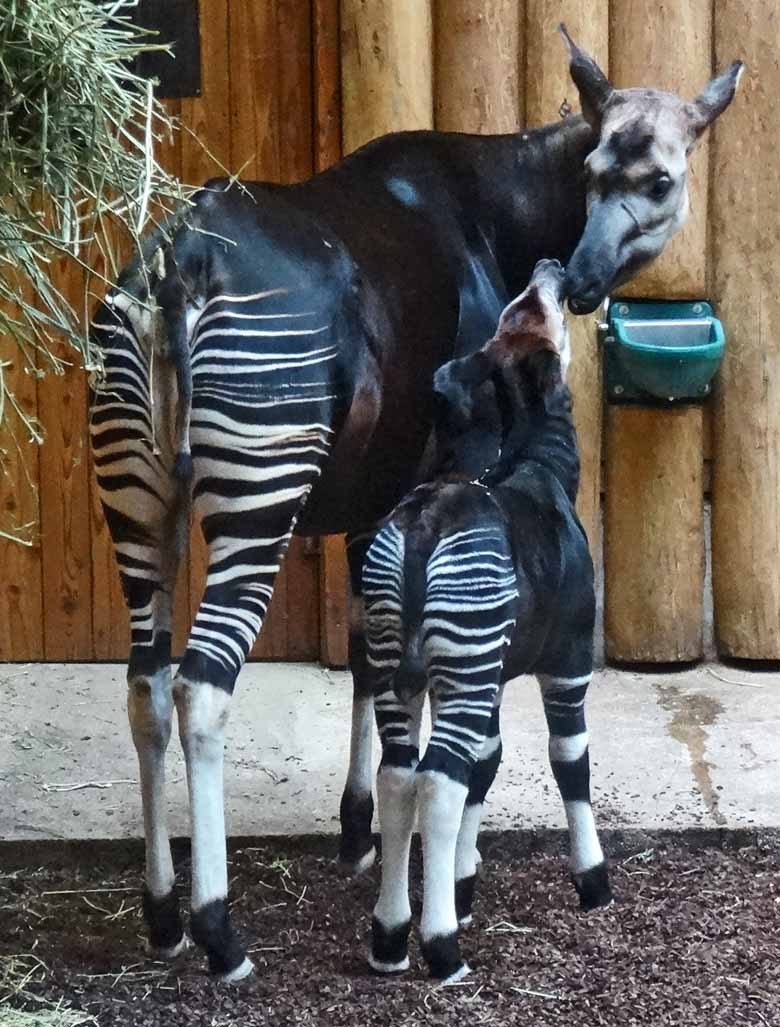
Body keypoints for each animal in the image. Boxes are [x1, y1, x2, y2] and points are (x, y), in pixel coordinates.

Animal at [363, 256, 608, 977]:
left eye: (516, 305)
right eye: (536, 303)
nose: (554, 266)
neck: (540, 462)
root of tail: (421, 527)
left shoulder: (486, 673)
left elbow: (487, 763)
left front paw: (462, 884)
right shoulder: (568, 664)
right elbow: (570, 763)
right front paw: (594, 883)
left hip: (398, 661)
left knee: (398, 775)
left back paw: (392, 937)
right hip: (461, 665)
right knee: (435, 780)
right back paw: (442, 949)